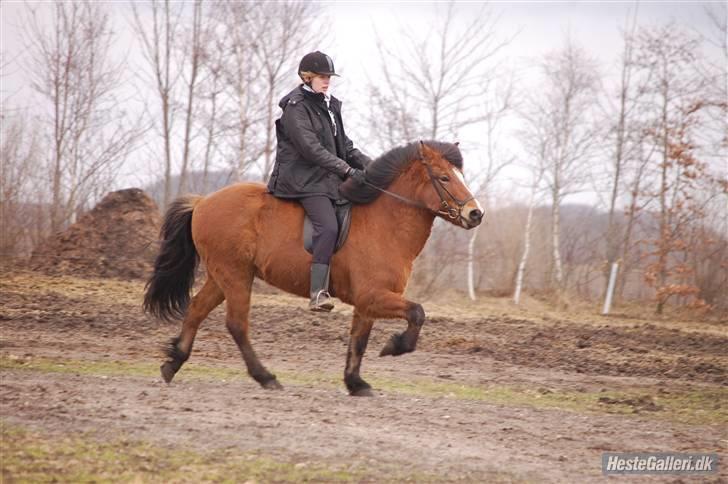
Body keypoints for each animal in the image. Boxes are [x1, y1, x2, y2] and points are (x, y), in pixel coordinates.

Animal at [142, 140, 484, 398]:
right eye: (443, 178)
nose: (475, 214)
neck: (385, 223)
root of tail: (202, 202)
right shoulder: (373, 295)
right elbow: (417, 313)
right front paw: (393, 347)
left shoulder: (367, 302)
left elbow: (359, 340)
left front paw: (356, 383)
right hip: (235, 275)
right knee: (236, 324)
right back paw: (265, 377)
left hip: (223, 275)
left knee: (197, 309)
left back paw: (173, 364)